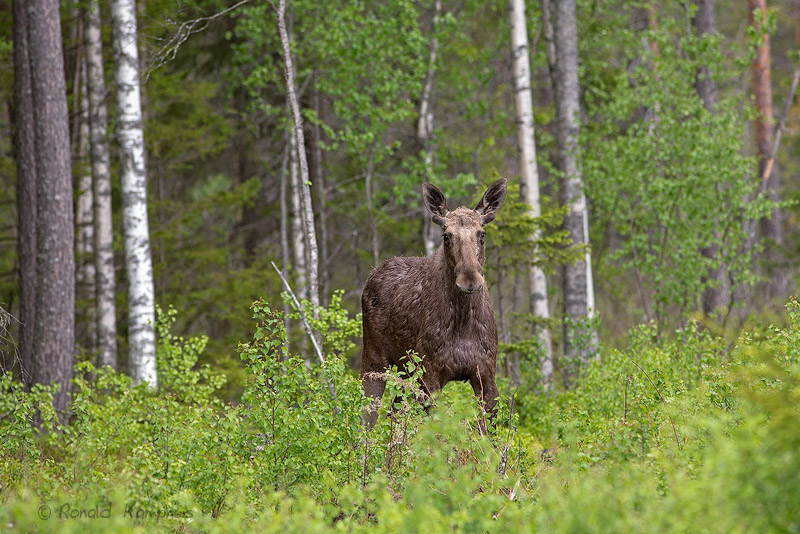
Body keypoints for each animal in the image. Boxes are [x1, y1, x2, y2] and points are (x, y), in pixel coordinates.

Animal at [360, 178, 506, 430]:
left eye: (482, 234)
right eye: (446, 236)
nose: (469, 280)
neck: (463, 324)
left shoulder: (486, 373)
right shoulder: (430, 375)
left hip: (406, 372)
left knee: (394, 411)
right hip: (373, 360)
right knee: (365, 417)